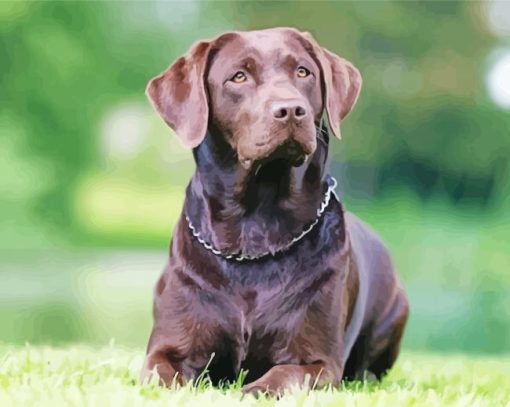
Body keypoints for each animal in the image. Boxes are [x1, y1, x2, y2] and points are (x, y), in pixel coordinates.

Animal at [141, 27, 408, 396]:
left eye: (303, 72)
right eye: (238, 76)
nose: (291, 110)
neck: (255, 227)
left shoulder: (318, 362)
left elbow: (279, 378)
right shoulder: (167, 350)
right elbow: (166, 376)